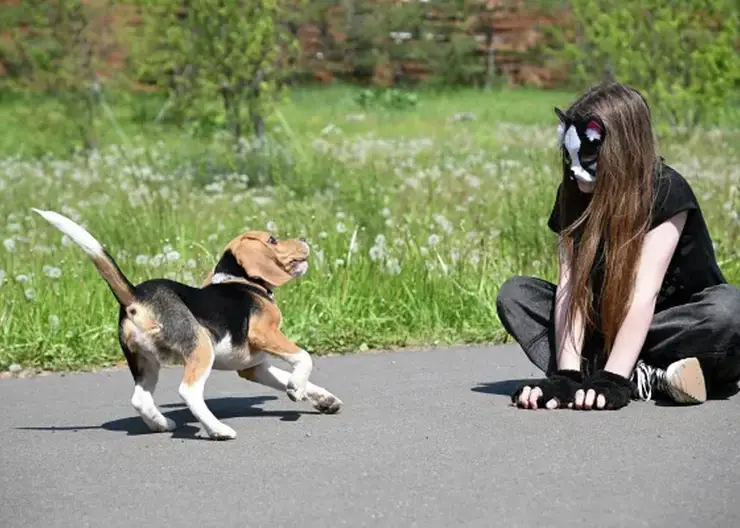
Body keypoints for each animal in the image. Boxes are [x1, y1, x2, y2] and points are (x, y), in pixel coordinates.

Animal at [34, 208, 344, 440]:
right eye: (272, 240)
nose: (303, 238)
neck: (240, 280)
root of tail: (136, 295)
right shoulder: (264, 333)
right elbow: (303, 357)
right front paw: (298, 388)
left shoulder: (253, 367)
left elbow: (289, 377)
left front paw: (320, 397)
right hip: (201, 347)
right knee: (189, 391)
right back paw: (218, 430)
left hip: (145, 361)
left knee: (140, 399)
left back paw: (161, 424)